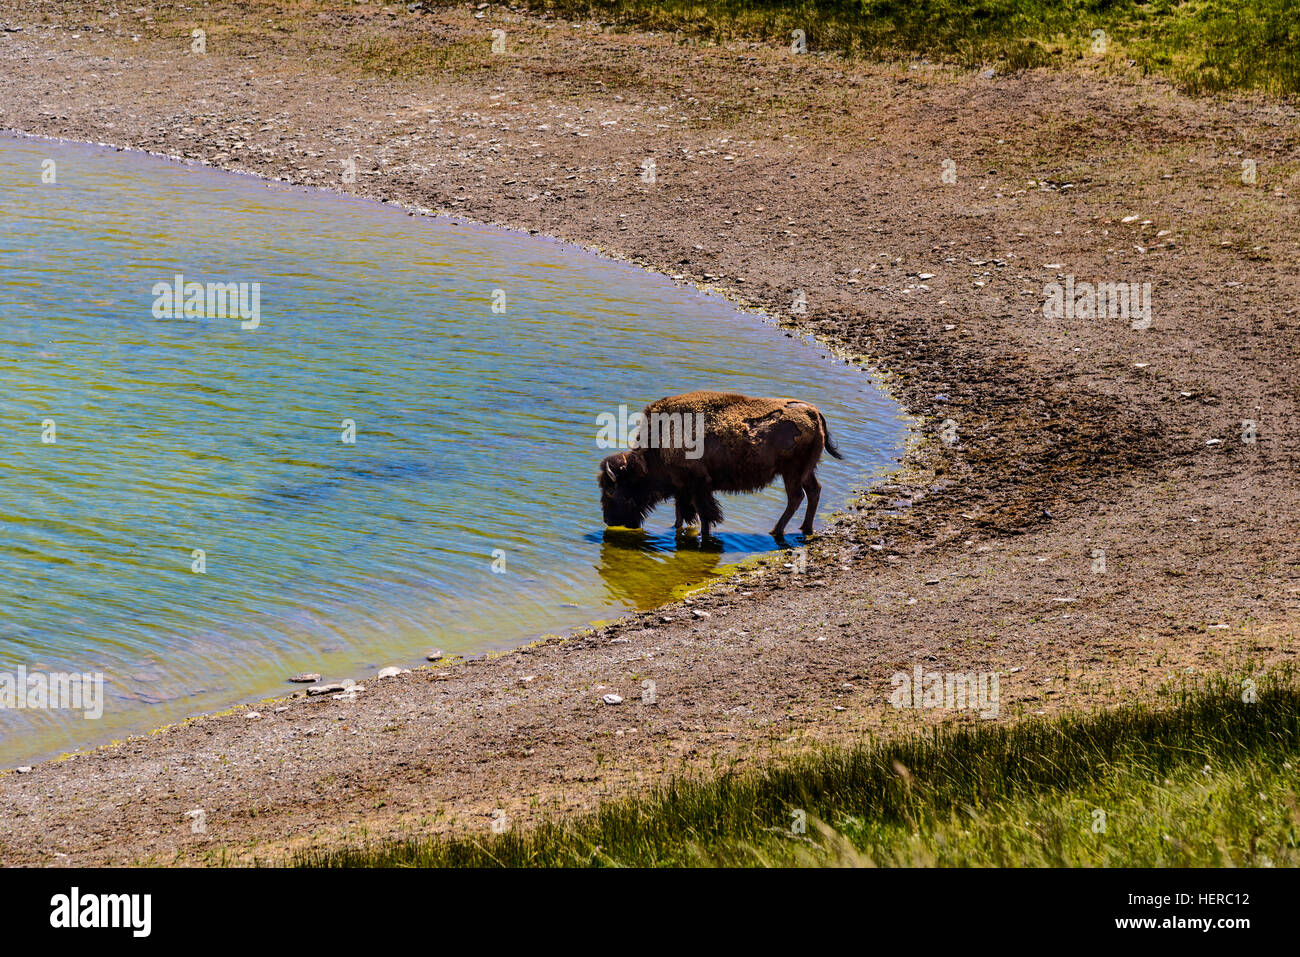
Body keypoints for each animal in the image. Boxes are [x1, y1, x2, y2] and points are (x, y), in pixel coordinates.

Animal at [598, 390, 842, 538]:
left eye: (611, 491)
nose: (608, 520)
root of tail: (813, 412)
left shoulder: (698, 486)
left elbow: (705, 513)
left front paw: (704, 535)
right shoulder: (682, 487)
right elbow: (681, 512)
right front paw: (676, 528)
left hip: (792, 472)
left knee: (796, 497)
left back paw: (776, 531)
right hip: (806, 470)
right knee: (814, 490)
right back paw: (805, 528)